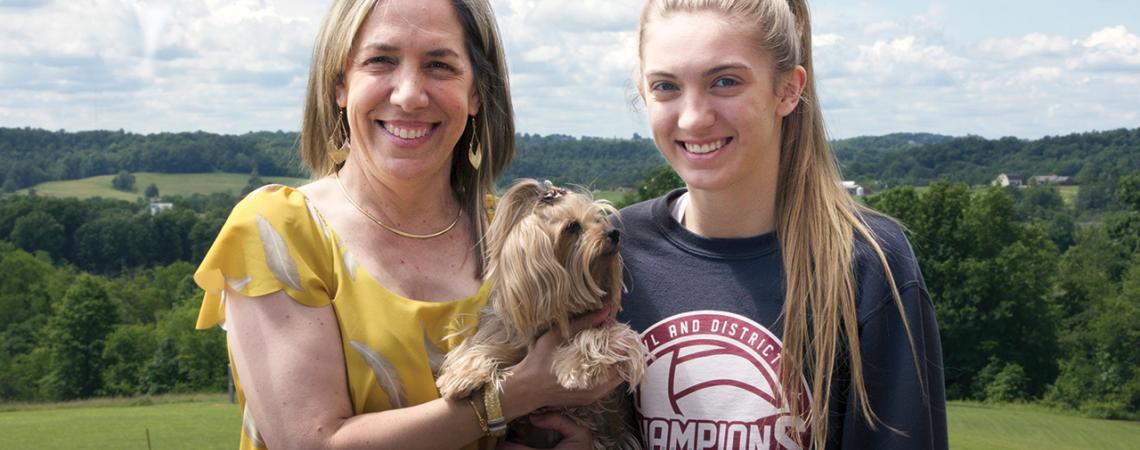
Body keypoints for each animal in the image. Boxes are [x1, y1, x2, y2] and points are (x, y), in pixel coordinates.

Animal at [435, 178, 647, 446]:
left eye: (600, 220)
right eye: (573, 226)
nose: (614, 233)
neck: (561, 312)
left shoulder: (611, 329)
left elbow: (606, 336)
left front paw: (576, 366)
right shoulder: (510, 329)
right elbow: (485, 344)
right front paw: (463, 375)